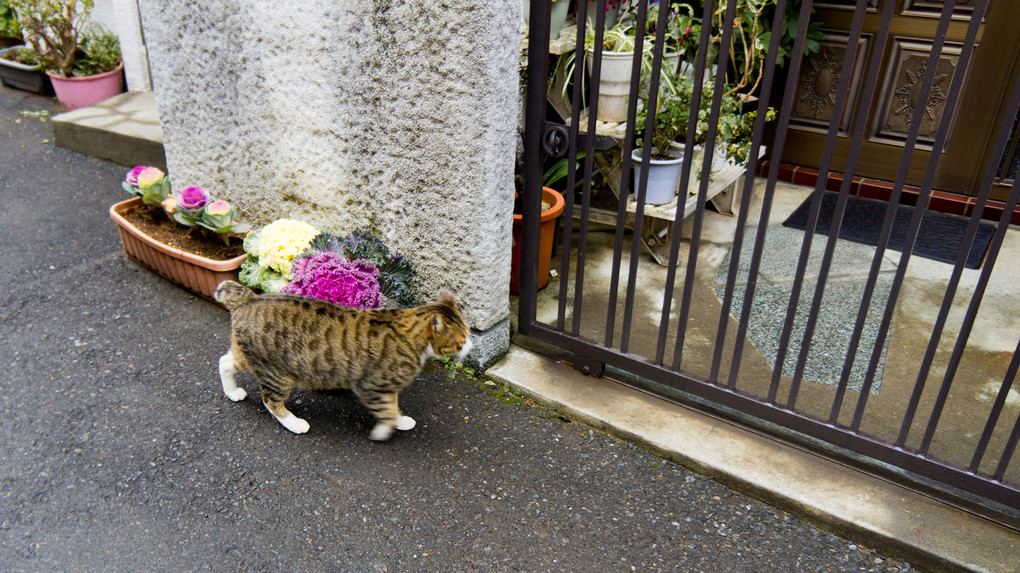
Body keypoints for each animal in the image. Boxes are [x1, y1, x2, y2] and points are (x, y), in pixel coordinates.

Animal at [217, 279, 471, 436]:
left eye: (469, 333)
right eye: (460, 340)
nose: (470, 345)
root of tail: (250, 298)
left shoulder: (387, 386)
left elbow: (393, 405)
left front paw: (399, 419)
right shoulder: (371, 386)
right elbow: (387, 410)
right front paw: (387, 428)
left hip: (251, 355)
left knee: (224, 362)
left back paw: (233, 392)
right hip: (277, 372)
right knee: (270, 401)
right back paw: (294, 423)